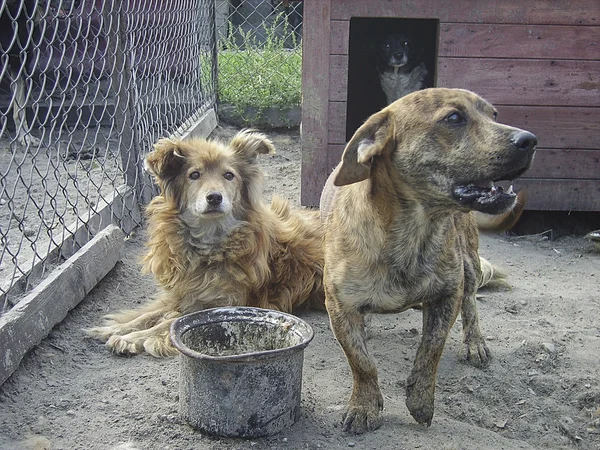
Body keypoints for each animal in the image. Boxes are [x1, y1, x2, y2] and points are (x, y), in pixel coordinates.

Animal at [85, 129, 324, 356]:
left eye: (229, 175)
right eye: (194, 175)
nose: (215, 197)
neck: (210, 242)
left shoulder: (229, 303)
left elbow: (168, 322)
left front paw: (130, 338)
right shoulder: (185, 293)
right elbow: (149, 315)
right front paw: (114, 329)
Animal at [322, 87, 536, 432]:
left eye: (494, 115)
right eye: (454, 118)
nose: (530, 140)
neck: (411, 232)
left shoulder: (447, 295)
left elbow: (430, 349)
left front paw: (420, 401)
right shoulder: (339, 306)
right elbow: (362, 361)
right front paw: (364, 405)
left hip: (469, 262)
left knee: (471, 303)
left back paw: (474, 343)